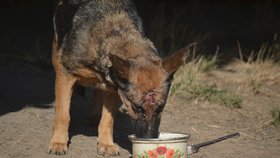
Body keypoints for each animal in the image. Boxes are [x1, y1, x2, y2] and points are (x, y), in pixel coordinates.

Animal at [49, 0, 188, 156]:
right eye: (136, 107)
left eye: (160, 107)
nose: (150, 138)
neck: (116, 34)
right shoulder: (66, 75)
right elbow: (63, 115)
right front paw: (58, 142)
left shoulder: (113, 90)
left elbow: (107, 121)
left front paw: (106, 144)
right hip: (56, 55)